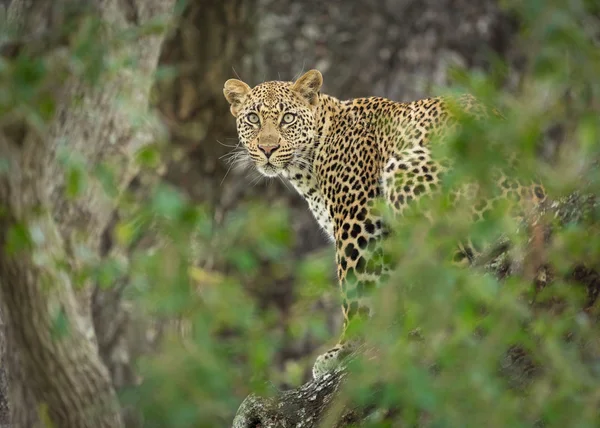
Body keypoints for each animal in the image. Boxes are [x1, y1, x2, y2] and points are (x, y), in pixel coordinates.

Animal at [223, 69, 548, 378]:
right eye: (253, 118)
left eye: (288, 118)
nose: (267, 148)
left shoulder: (358, 222)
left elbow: (356, 289)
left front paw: (344, 350)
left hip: (407, 169)